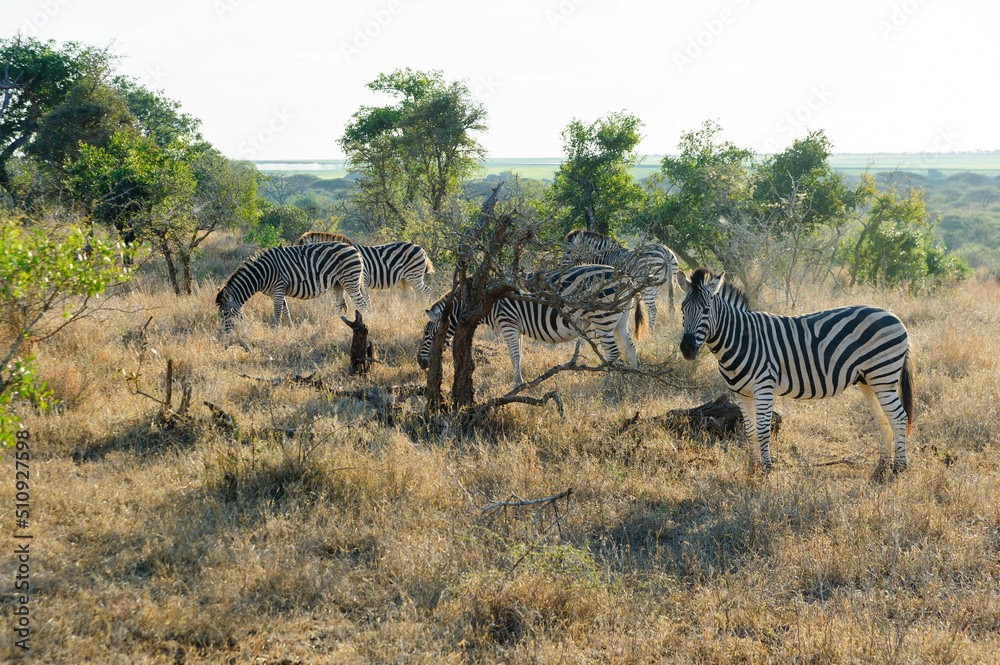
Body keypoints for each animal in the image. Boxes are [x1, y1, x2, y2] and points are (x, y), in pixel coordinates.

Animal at [215, 242, 370, 333]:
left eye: (227, 313)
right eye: (220, 314)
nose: (226, 334)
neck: (261, 274)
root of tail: (354, 248)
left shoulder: (278, 289)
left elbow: (277, 312)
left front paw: (276, 331)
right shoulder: (278, 292)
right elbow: (286, 312)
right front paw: (291, 328)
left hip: (350, 281)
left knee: (362, 305)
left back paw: (369, 322)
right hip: (338, 284)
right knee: (340, 307)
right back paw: (333, 324)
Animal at [296, 232, 435, 308]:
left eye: (304, 253)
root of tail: (421, 248)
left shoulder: (363, 278)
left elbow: (365, 299)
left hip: (414, 276)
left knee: (427, 290)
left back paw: (425, 306)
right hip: (405, 279)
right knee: (411, 296)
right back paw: (411, 308)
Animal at [416, 265, 648, 387]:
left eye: (427, 334)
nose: (420, 363)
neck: (484, 300)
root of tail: (626, 277)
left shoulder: (508, 322)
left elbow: (514, 355)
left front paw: (518, 384)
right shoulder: (515, 326)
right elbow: (518, 354)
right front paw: (518, 380)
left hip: (603, 319)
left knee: (613, 353)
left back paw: (608, 382)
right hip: (619, 320)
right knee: (630, 348)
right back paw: (635, 379)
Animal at [677, 267, 914, 476]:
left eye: (706, 310)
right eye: (682, 309)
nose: (687, 349)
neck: (741, 339)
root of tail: (894, 317)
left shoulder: (763, 388)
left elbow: (762, 431)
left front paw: (766, 470)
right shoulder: (741, 393)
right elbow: (750, 431)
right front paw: (752, 469)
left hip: (883, 376)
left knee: (899, 417)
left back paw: (899, 468)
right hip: (869, 381)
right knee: (885, 419)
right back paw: (881, 468)